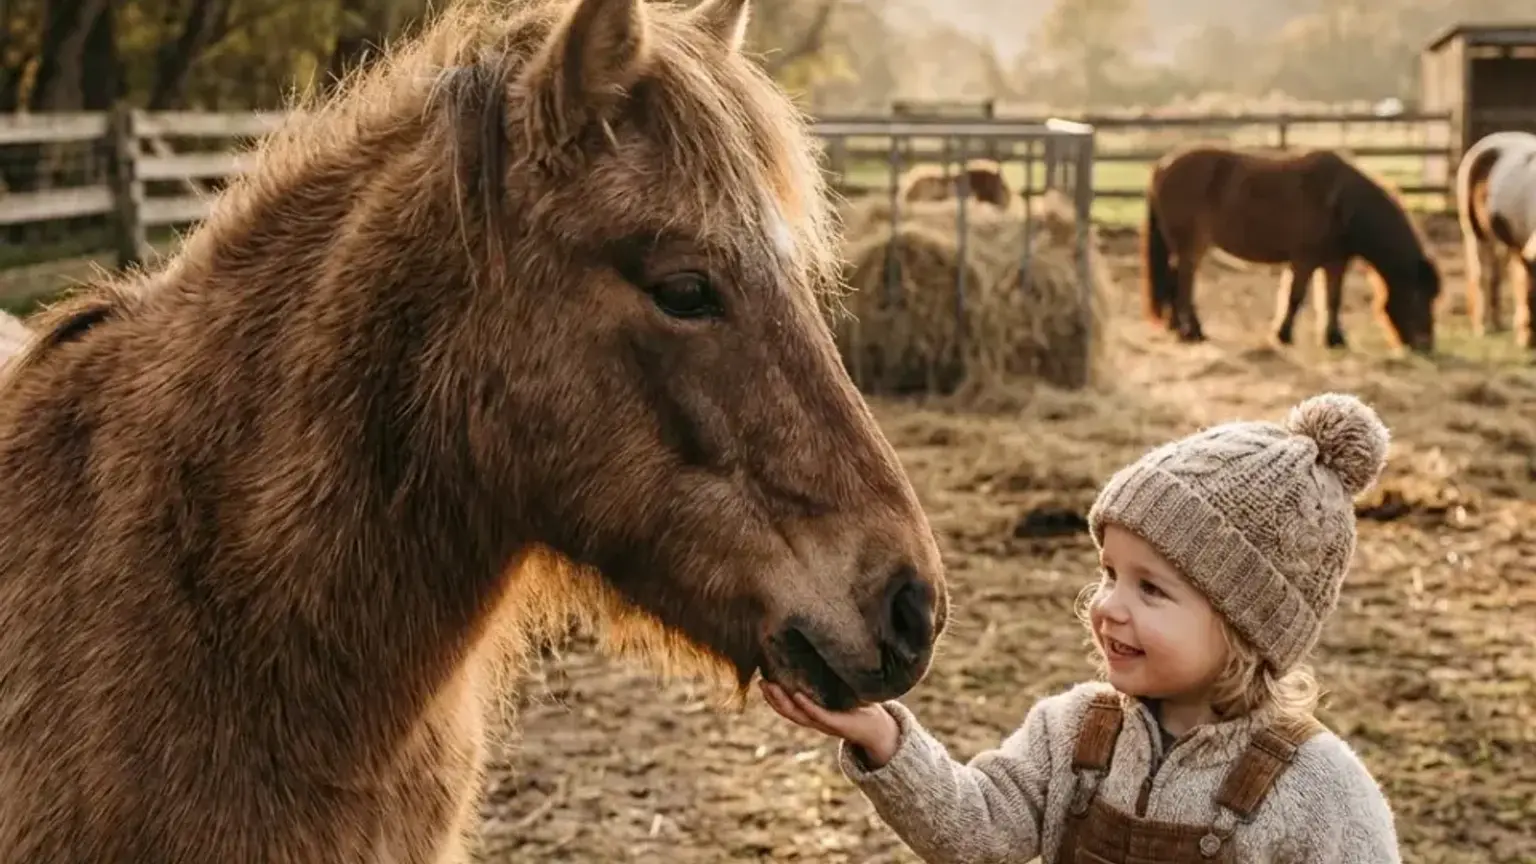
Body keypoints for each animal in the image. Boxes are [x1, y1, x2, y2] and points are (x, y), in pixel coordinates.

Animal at [1141, 144, 1441, 352]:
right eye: (1418, 297)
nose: (1425, 346)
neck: (1341, 203)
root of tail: (1163, 166)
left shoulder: (1335, 262)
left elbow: (1332, 299)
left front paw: (1334, 339)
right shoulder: (1304, 260)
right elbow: (1295, 297)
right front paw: (1283, 335)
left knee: (1174, 283)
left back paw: (1179, 329)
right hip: (1191, 247)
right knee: (1182, 284)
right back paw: (1192, 332)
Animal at [1455, 129, 1536, 347]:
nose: (1529, 343)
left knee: (1495, 277)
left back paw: (1497, 324)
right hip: (1475, 234)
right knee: (1481, 275)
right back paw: (1482, 327)